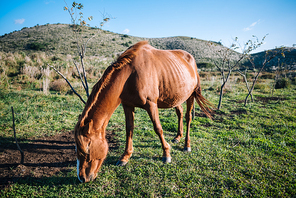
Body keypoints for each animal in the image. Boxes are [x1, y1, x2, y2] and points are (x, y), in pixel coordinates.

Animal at [74, 41, 213, 183]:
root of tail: (191, 59)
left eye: (87, 149)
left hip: (191, 95)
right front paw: (125, 156)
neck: (129, 75)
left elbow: (158, 128)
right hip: (175, 97)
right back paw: (177, 137)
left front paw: (166, 154)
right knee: (179, 113)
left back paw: (187, 145)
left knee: (188, 117)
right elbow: (129, 129)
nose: (82, 178)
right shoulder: (127, 105)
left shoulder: (151, 104)